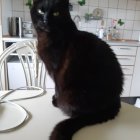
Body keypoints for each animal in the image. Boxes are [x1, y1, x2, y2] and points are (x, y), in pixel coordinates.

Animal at [30, 0, 123, 139]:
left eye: (56, 13)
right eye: (41, 11)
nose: (45, 19)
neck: (46, 37)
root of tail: (114, 102)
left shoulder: (56, 71)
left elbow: (57, 88)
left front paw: (56, 100)